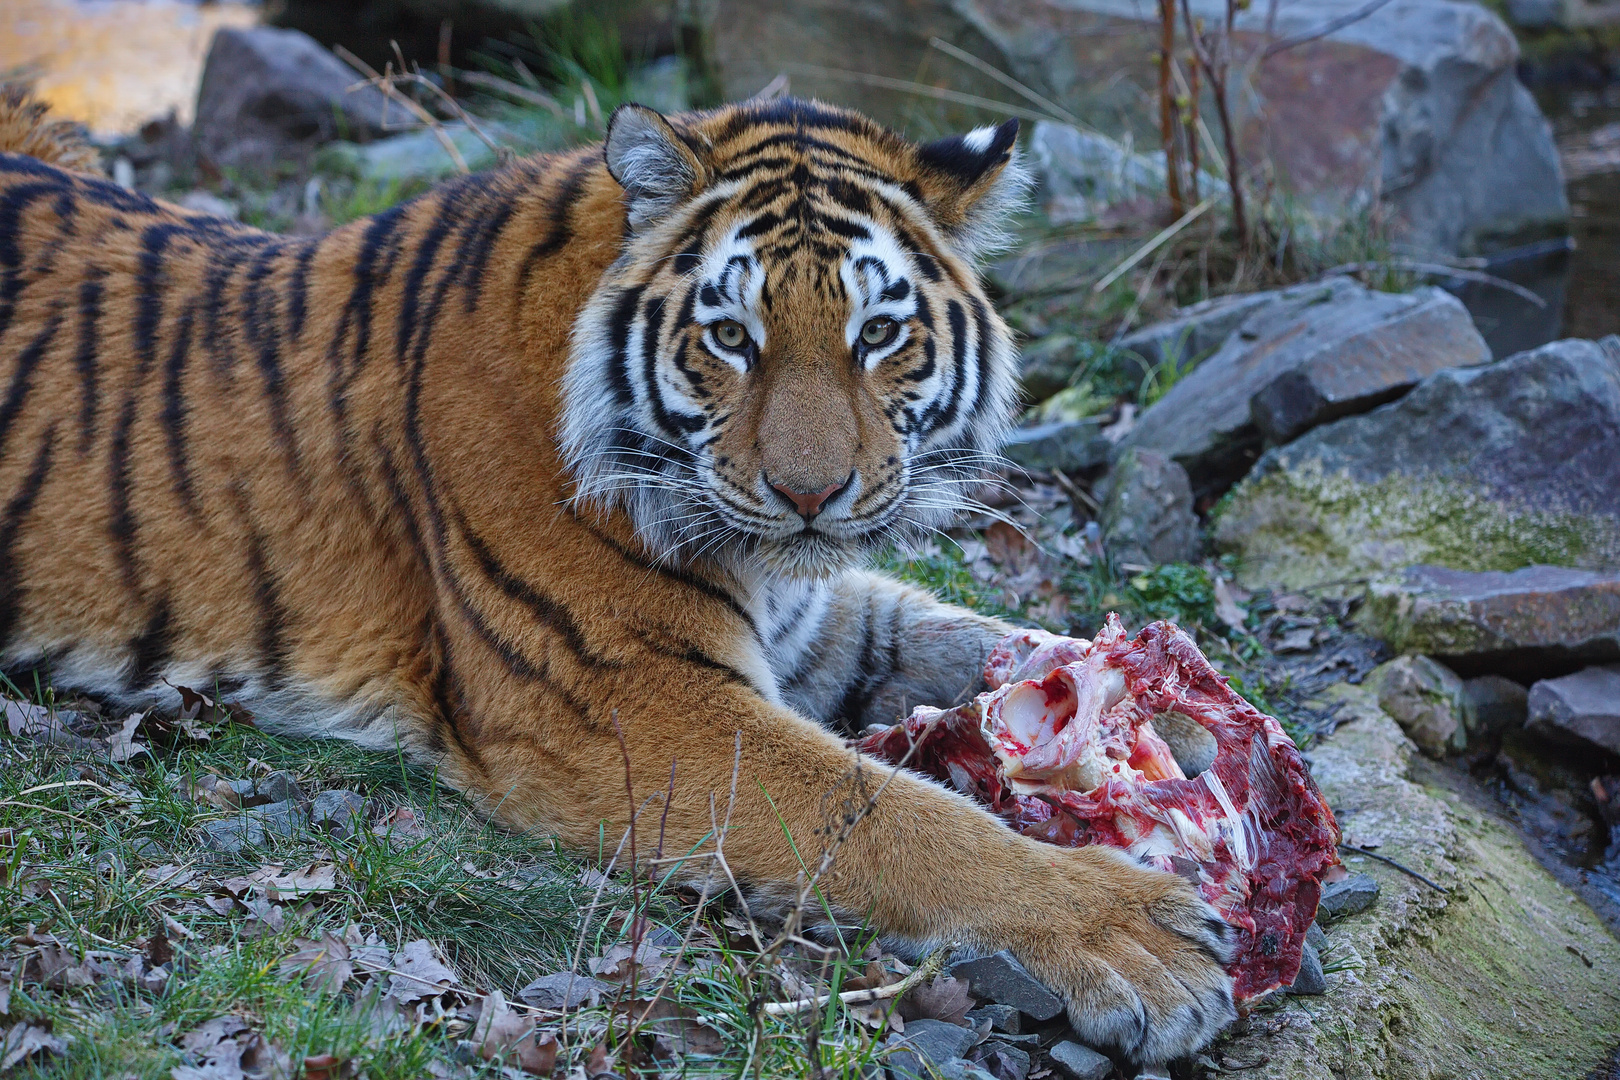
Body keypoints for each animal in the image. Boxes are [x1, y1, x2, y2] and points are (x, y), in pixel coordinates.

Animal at [0, 86, 1224, 1062]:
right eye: (732, 337)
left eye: (879, 335)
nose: (811, 495)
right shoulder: (628, 700)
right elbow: (889, 814)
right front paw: (1137, 938)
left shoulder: (810, 623)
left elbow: (968, 641)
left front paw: (1186, 714)